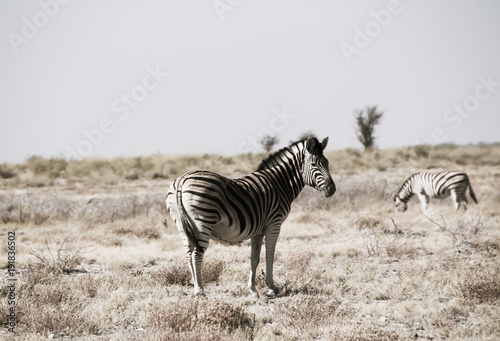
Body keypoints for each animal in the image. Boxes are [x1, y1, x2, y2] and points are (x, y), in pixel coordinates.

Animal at [165, 135, 336, 294]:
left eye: (327, 163)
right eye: (314, 164)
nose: (332, 189)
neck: (280, 184)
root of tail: (182, 180)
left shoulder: (258, 230)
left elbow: (254, 258)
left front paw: (253, 289)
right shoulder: (274, 224)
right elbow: (270, 255)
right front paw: (271, 287)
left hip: (182, 225)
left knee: (188, 254)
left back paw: (195, 287)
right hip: (203, 221)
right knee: (196, 254)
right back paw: (200, 291)